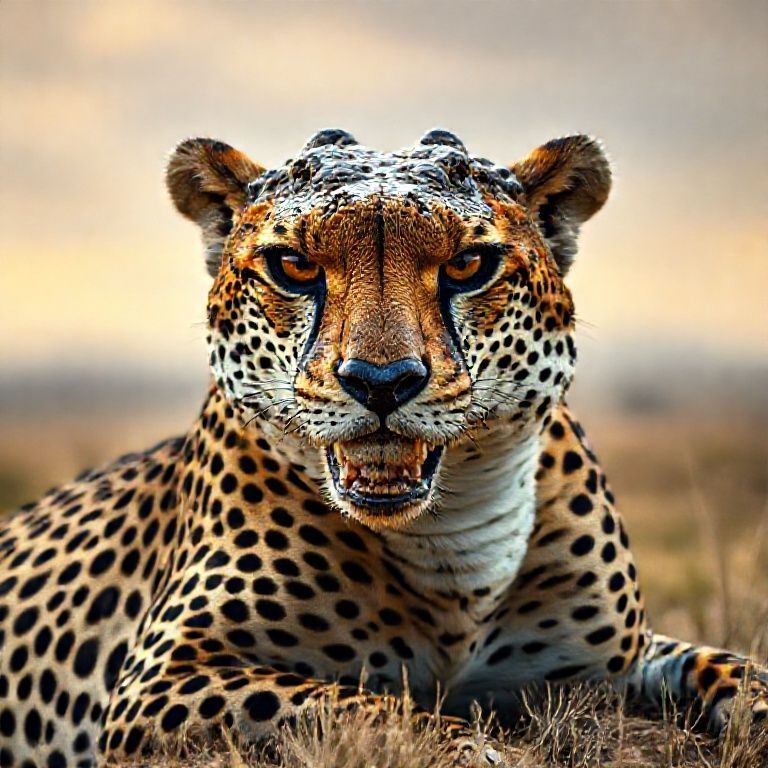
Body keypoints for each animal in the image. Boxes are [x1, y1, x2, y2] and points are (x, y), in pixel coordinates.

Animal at [0, 128, 765, 768]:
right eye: (293, 266)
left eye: (468, 264)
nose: (381, 381)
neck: (453, 545)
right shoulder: (159, 682)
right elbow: (357, 706)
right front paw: (473, 751)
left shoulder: (614, 662)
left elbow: (732, 664)